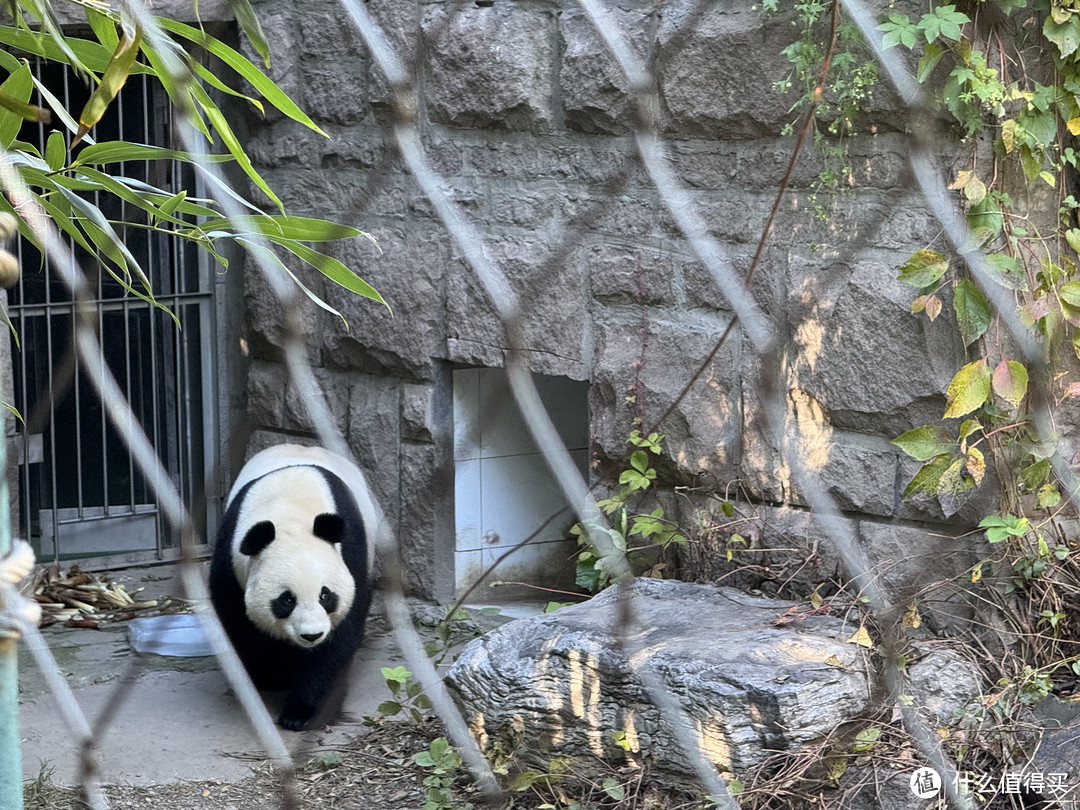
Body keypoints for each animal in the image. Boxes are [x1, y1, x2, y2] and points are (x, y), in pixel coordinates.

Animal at [207, 444, 375, 734]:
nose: (312, 635)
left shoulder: (350, 553)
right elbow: (240, 625)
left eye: (325, 595)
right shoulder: (231, 559)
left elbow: (338, 639)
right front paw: (269, 677)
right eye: (286, 600)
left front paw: (302, 712)